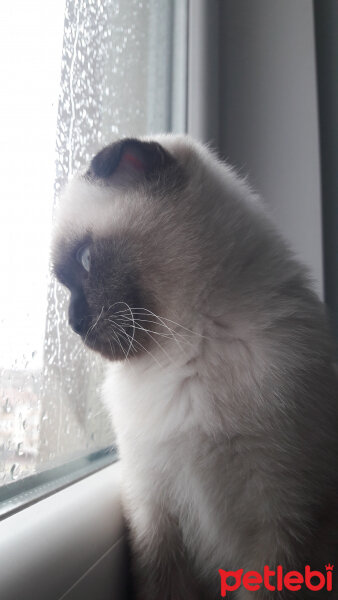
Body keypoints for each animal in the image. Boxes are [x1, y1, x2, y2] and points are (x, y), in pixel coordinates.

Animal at [51, 136, 336, 600]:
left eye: (87, 260)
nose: (73, 323)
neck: (183, 352)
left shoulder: (285, 524)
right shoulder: (154, 517)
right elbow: (162, 584)